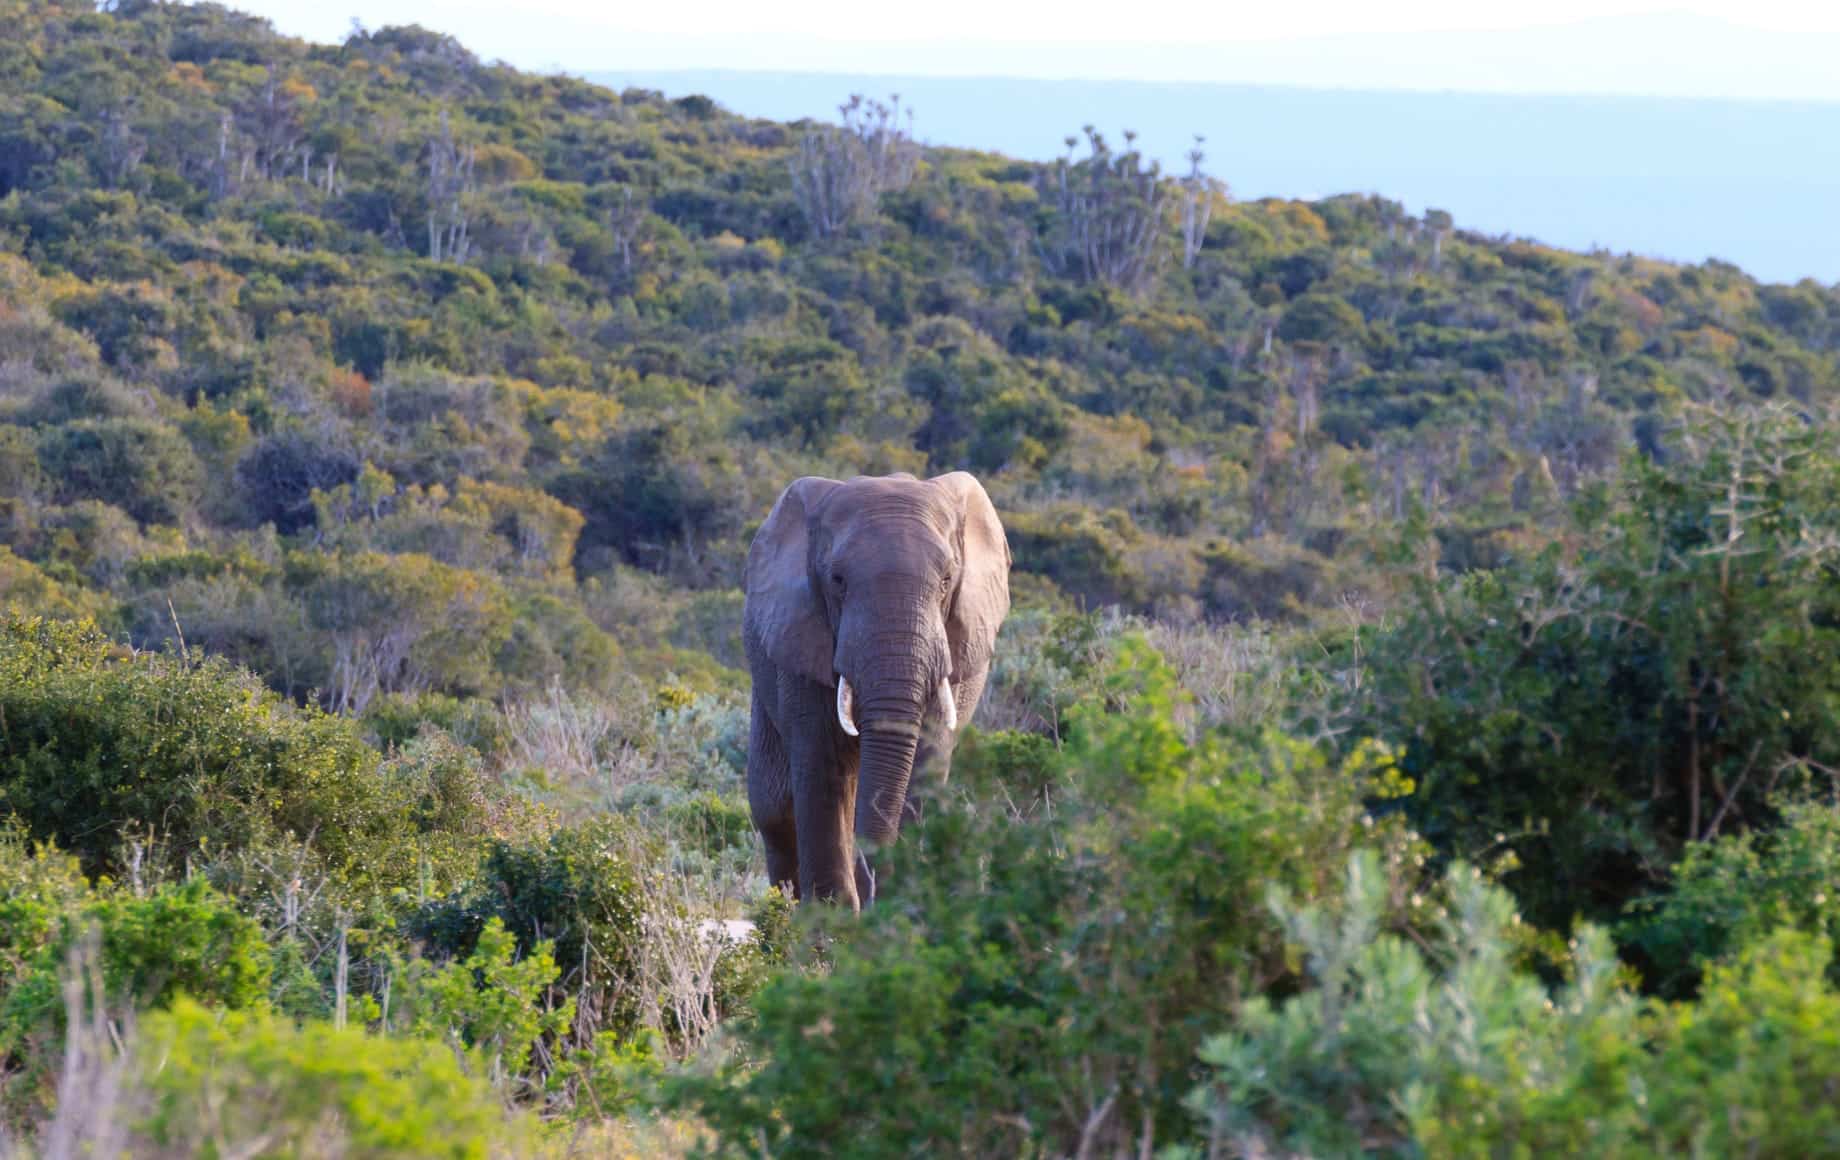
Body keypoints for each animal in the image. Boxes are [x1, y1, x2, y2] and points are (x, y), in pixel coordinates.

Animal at [739, 471, 1015, 909]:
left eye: (946, 581)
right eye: (837, 581)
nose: (871, 888)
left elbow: (924, 764)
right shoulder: (801, 641)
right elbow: (821, 771)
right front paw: (831, 923)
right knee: (774, 808)